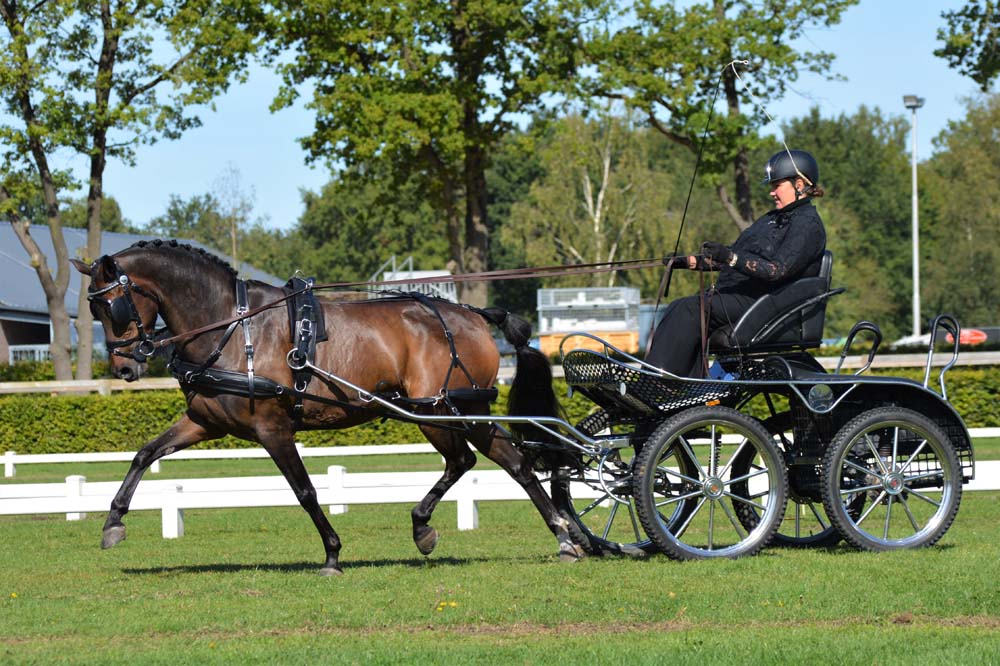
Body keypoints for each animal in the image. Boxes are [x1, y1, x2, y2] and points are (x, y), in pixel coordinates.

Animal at [70, 241, 584, 572]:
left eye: (112, 306)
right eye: (93, 311)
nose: (124, 368)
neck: (234, 328)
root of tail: (475, 316)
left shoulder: (273, 430)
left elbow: (305, 491)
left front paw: (333, 554)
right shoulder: (203, 423)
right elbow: (145, 453)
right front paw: (113, 522)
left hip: (442, 411)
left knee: (479, 461)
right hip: (454, 412)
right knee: (501, 461)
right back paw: (557, 535)